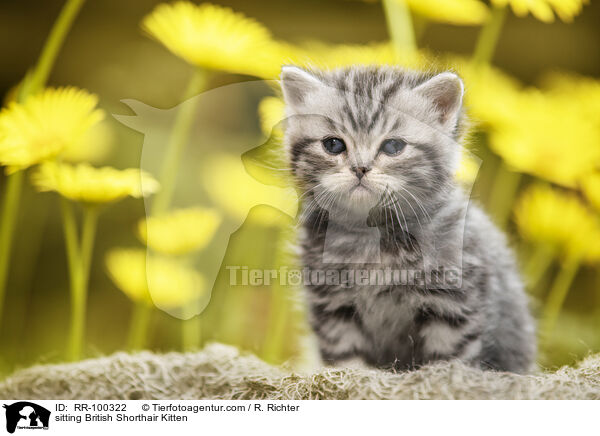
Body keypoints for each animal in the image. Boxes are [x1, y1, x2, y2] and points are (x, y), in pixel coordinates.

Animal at [282, 65, 540, 374]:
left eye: (393, 146)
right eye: (333, 145)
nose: (360, 168)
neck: (373, 237)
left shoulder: (453, 305)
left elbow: (451, 361)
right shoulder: (333, 308)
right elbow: (349, 363)